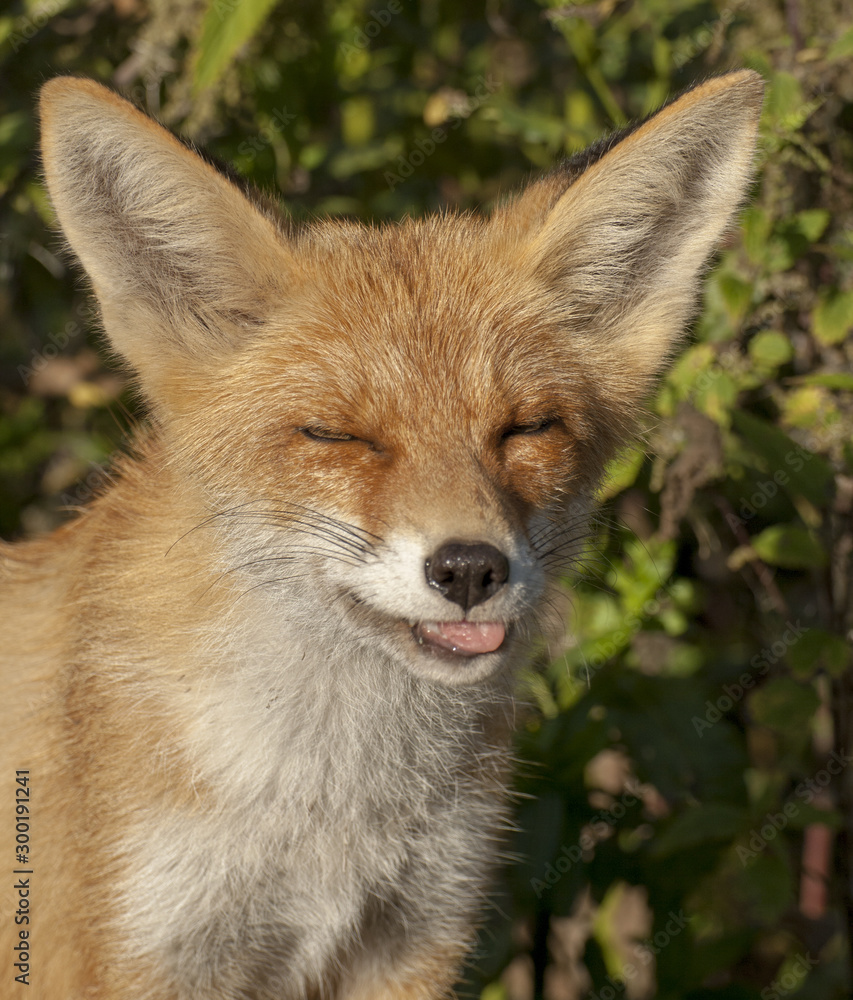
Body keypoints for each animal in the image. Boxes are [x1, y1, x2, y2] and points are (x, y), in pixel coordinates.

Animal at [0, 70, 762, 999]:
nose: (468, 568)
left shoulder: (412, 938)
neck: (331, 809)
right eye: (338, 436)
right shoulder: (141, 949)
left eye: (526, 429)